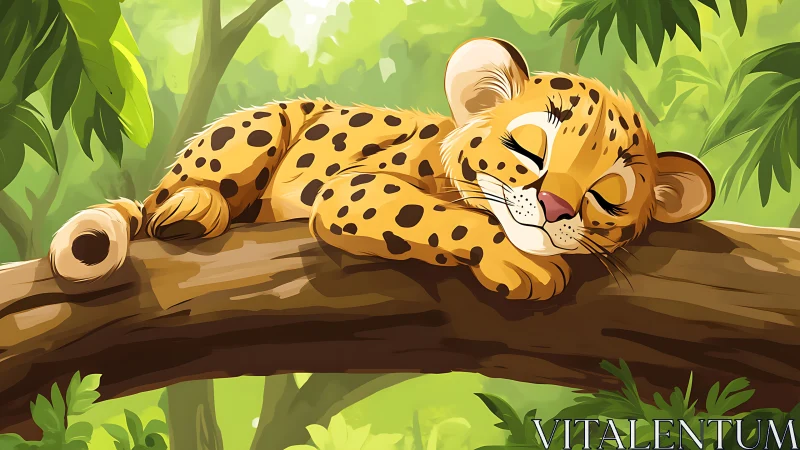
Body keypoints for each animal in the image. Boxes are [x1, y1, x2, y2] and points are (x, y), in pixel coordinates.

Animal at [49, 38, 715, 301]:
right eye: (528, 150)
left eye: (607, 193)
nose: (554, 209)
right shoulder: (350, 185)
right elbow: (434, 214)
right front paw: (517, 260)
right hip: (260, 122)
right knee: (162, 197)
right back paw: (193, 206)